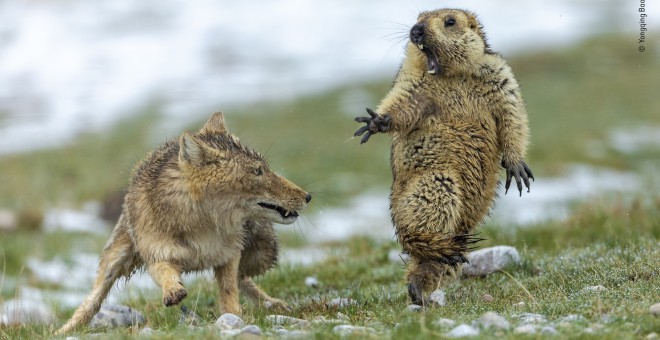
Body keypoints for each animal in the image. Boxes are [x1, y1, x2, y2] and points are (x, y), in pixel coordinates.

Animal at [55, 111, 310, 334]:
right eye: (257, 171)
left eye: (265, 169)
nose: (308, 196)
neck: (202, 226)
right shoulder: (157, 254)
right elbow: (165, 273)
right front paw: (173, 291)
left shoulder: (228, 255)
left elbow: (229, 289)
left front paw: (234, 317)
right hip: (114, 259)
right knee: (92, 301)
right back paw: (63, 330)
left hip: (262, 254)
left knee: (243, 279)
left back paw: (273, 304)